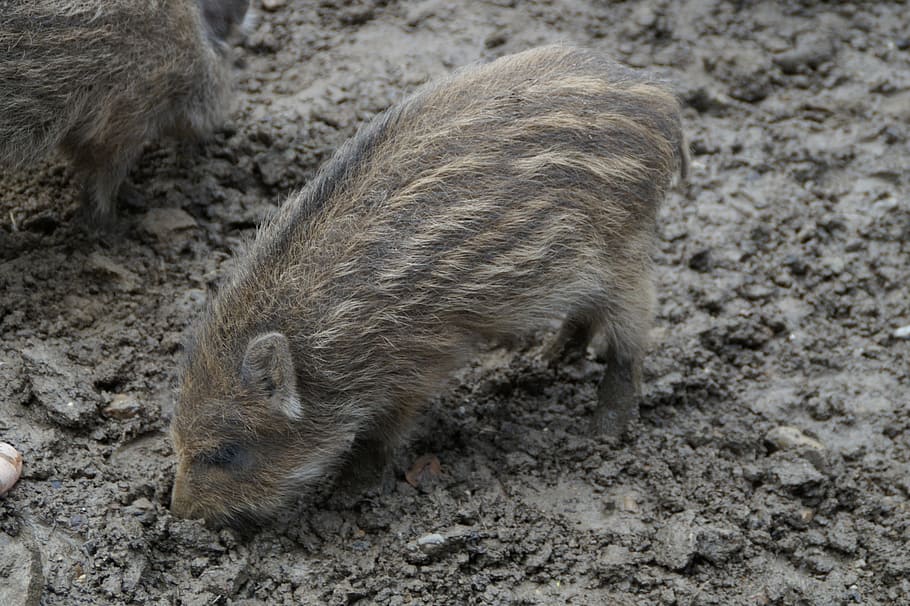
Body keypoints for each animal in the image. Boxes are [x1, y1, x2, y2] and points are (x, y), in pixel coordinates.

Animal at [170, 45, 688, 524]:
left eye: (225, 452)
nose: (177, 513)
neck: (323, 332)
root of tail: (662, 96)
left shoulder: (416, 363)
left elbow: (381, 433)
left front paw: (348, 493)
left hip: (625, 251)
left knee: (632, 336)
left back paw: (604, 431)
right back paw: (550, 358)